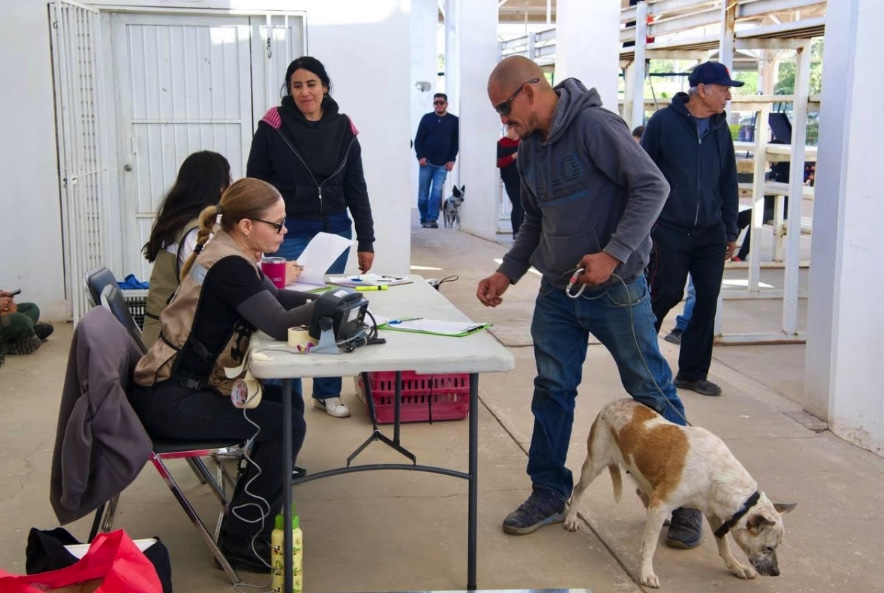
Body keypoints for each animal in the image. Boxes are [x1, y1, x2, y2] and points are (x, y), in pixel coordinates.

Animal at [564, 398, 796, 588]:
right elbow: (649, 546)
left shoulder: (712, 513)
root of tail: (613, 402)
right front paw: (646, 573)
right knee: (578, 489)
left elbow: (724, 544)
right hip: (594, 464)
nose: (776, 572)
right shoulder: (662, 503)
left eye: (777, 547)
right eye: (769, 548)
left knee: (642, 492)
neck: (715, 471)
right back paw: (572, 518)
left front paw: (736, 567)